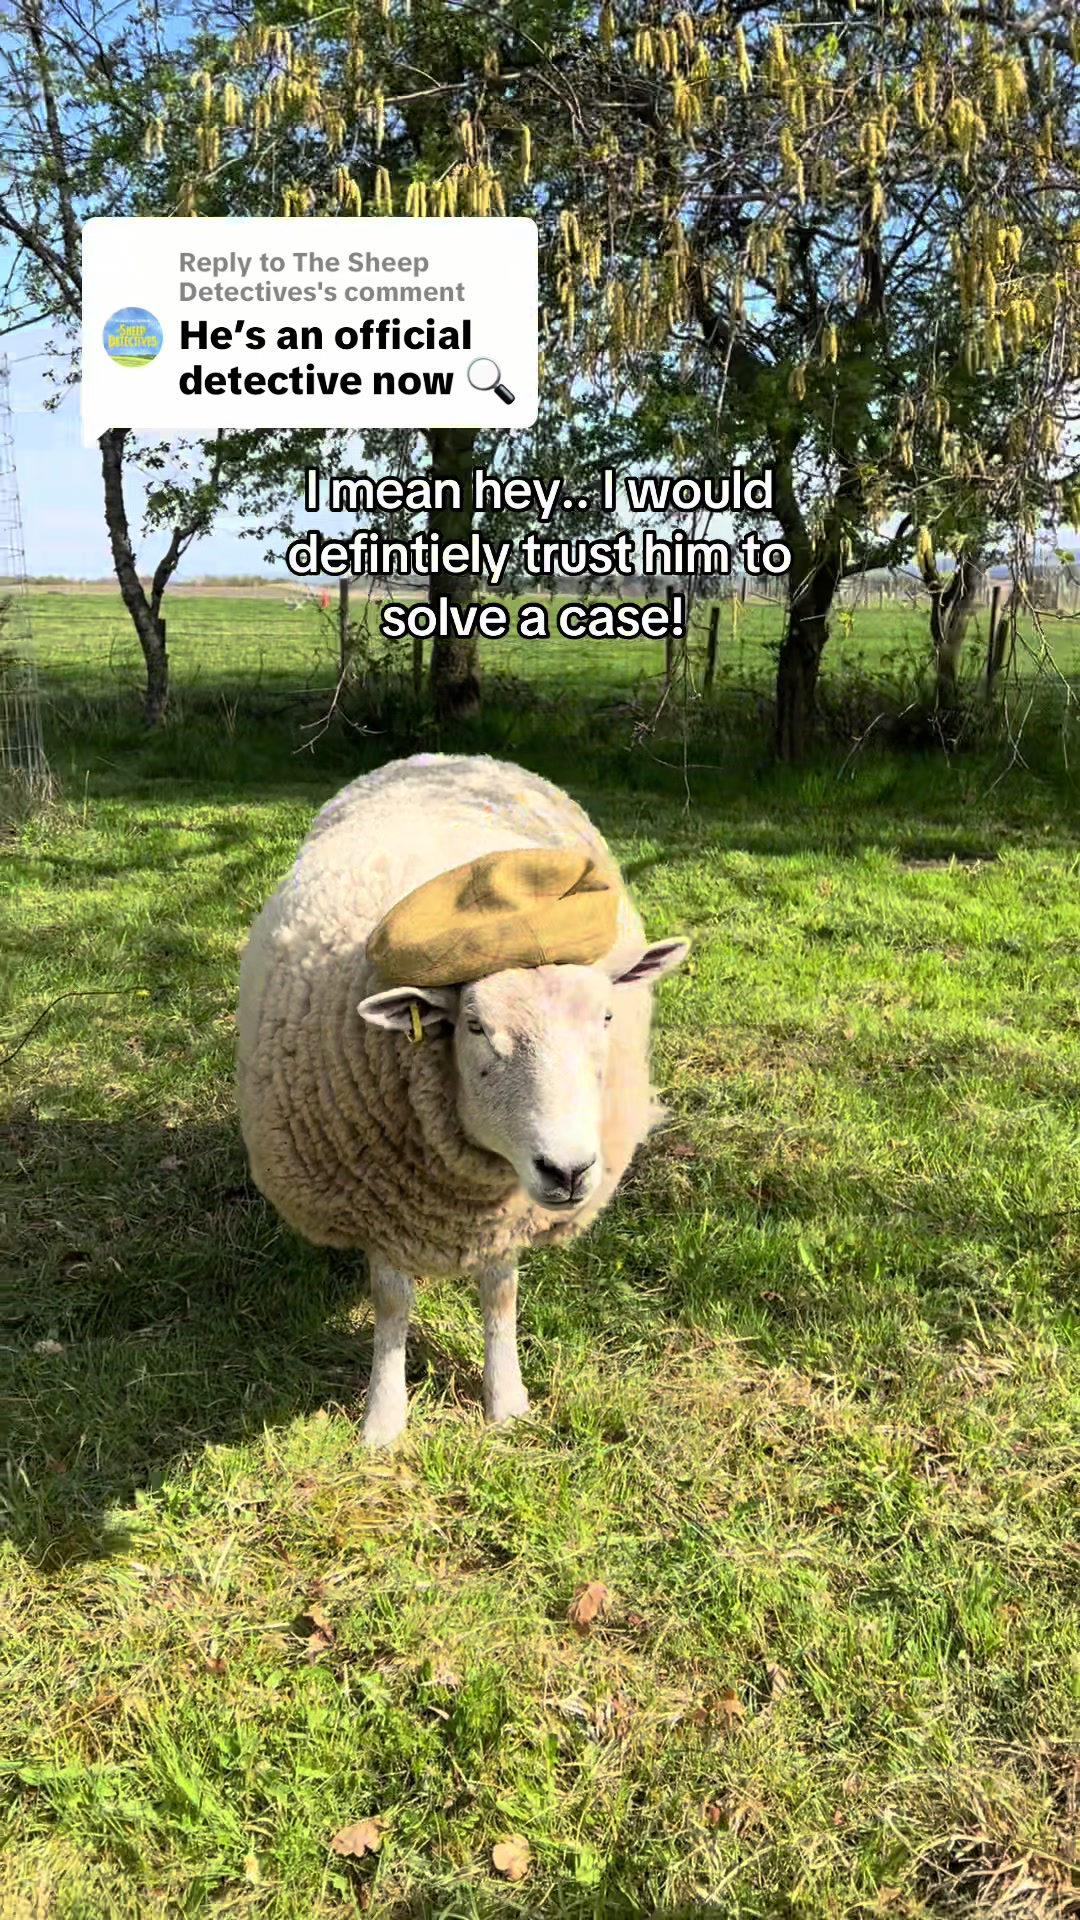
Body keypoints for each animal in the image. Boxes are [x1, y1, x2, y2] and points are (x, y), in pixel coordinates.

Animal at [236, 752, 689, 1445]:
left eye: (608, 1016)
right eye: (473, 1026)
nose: (568, 1171)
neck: (468, 1198)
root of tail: (442, 755)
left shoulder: (505, 1216)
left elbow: (500, 1295)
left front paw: (506, 1400)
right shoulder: (376, 1207)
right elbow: (392, 1304)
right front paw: (384, 1418)